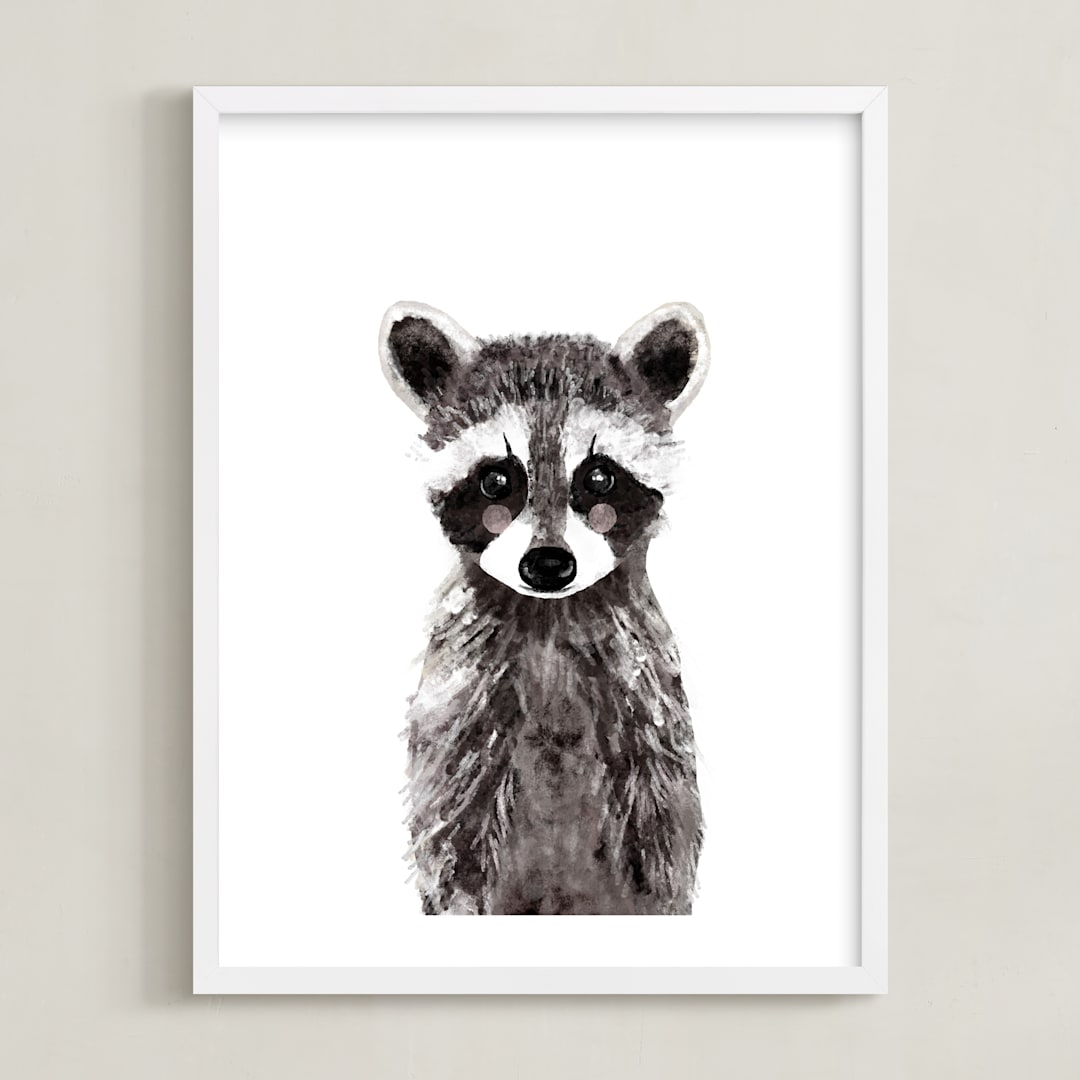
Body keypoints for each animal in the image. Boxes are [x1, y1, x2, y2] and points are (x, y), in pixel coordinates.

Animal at [379, 301, 710, 915]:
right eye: (496, 480)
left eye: (599, 476)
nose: (549, 565)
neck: (550, 616)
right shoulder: (462, 694)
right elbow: (450, 831)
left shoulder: (646, 693)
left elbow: (665, 835)